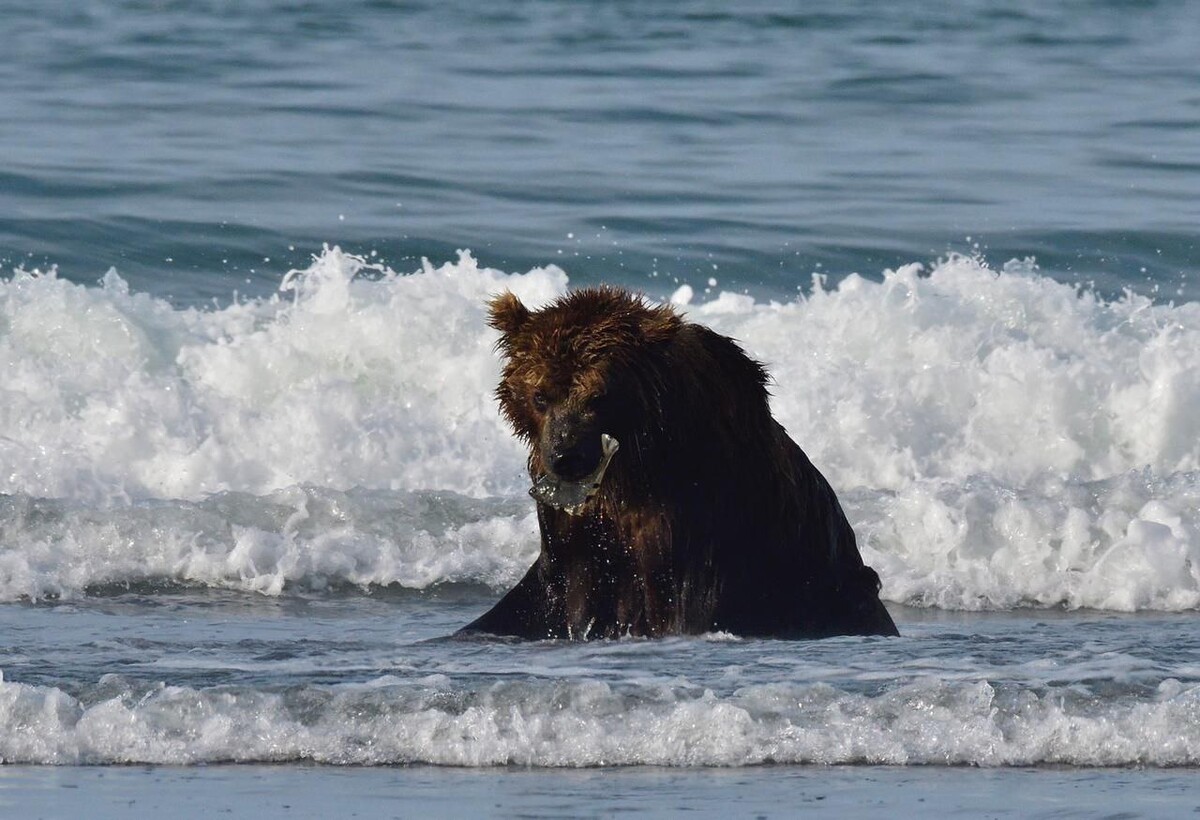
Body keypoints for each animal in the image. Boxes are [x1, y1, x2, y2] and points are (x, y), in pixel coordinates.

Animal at [458, 286, 902, 643]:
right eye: (539, 396)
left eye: (598, 396)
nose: (566, 456)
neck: (633, 470)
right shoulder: (574, 535)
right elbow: (560, 593)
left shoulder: (698, 521)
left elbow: (685, 601)